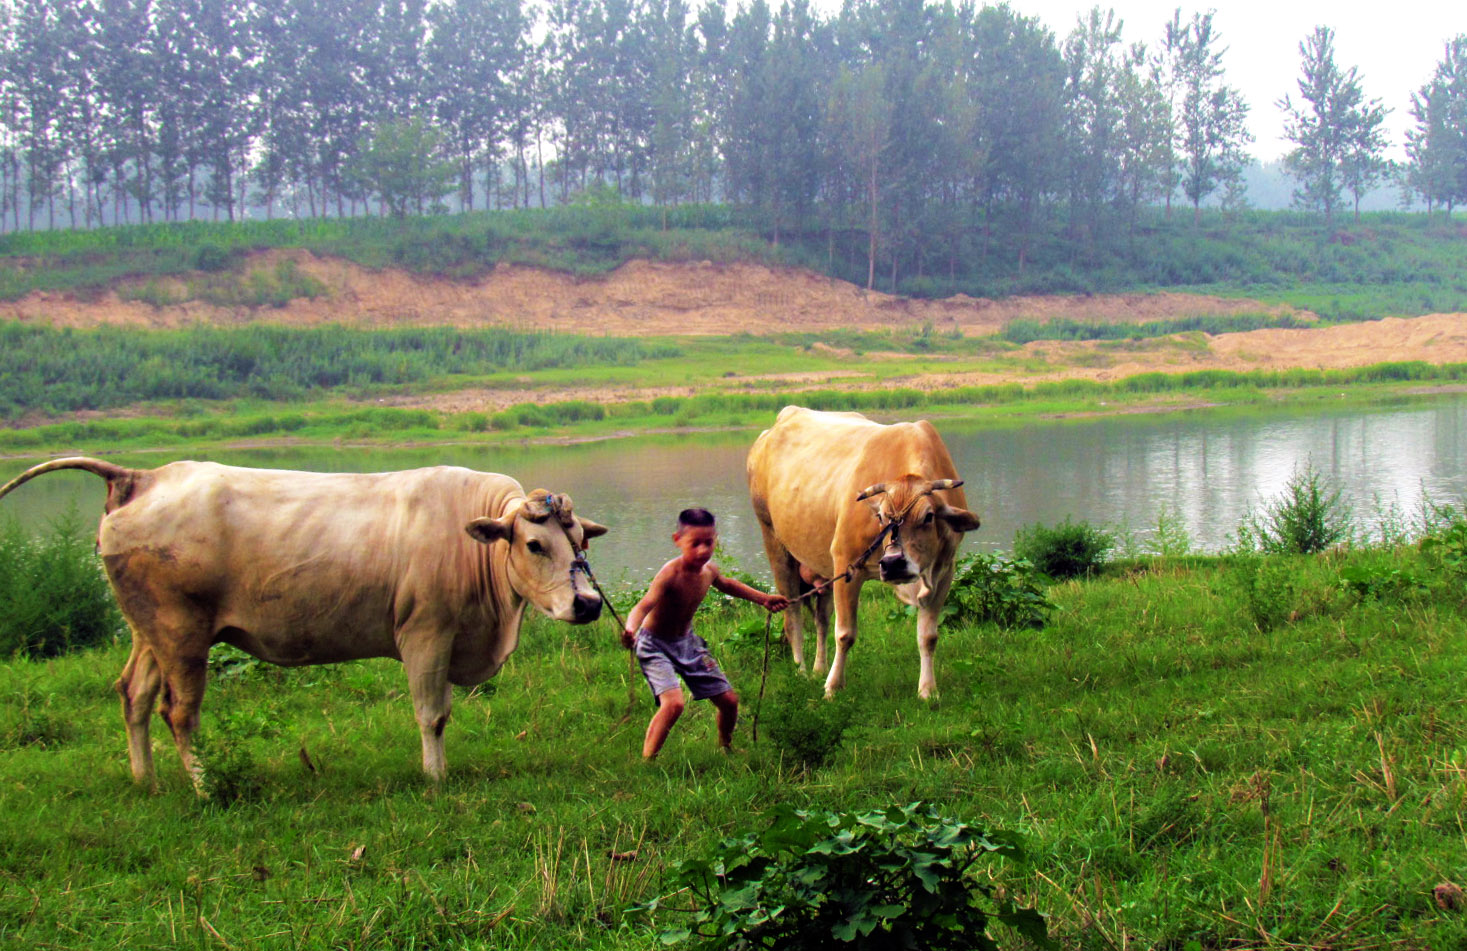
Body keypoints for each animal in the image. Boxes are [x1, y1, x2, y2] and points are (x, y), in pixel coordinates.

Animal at [0, 457, 607, 786]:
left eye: (579, 541)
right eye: (534, 544)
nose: (588, 603)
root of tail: (142, 476)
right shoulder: (425, 634)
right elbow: (432, 715)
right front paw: (435, 777)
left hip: (149, 631)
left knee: (134, 695)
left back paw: (145, 779)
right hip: (181, 633)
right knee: (178, 712)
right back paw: (205, 787)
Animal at [751, 407, 979, 698]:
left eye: (928, 516)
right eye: (881, 516)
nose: (893, 563)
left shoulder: (944, 572)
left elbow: (928, 637)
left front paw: (928, 690)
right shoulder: (846, 563)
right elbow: (845, 633)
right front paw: (833, 688)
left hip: (821, 569)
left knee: (821, 619)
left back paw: (818, 668)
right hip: (774, 542)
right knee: (793, 616)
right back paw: (801, 669)